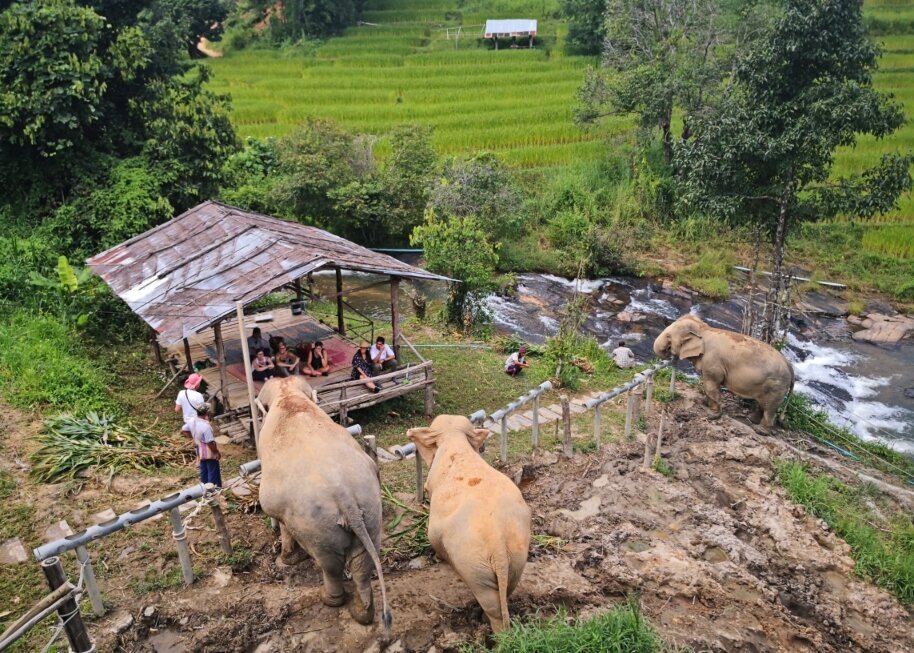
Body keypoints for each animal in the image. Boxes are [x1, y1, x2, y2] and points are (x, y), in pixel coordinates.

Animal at [255, 374, 390, 636]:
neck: (288, 395)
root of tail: (345, 494)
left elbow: (278, 515)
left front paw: (286, 560)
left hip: (316, 525)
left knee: (331, 564)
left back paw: (329, 599)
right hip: (371, 511)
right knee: (362, 563)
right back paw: (362, 613)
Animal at [406, 412, 528, 632]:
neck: (455, 440)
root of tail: (498, 542)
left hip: (472, 565)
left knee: (491, 605)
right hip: (517, 558)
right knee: (506, 591)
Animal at [652, 314, 796, 430]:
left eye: (668, 336)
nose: (668, 353)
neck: (704, 329)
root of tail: (790, 367)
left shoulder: (712, 361)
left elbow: (712, 384)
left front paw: (713, 414)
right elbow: (708, 384)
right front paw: (703, 402)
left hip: (776, 386)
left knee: (769, 408)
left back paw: (761, 430)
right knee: (763, 404)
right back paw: (752, 419)